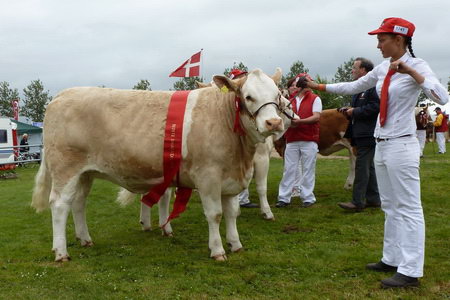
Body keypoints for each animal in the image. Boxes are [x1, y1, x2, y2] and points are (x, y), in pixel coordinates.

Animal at [33, 69, 298, 262]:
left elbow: (232, 213)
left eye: (277, 95)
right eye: (248, 96)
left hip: (85, 173)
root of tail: (61, 96)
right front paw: (217, 250)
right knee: (59, 205)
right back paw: (61, 252)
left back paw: (85, 238)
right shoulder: (209, 176)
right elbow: (215, 214)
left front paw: (236, 244)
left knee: (78, 203)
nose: (274, 123)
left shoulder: (231, 178)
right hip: (66, 168)